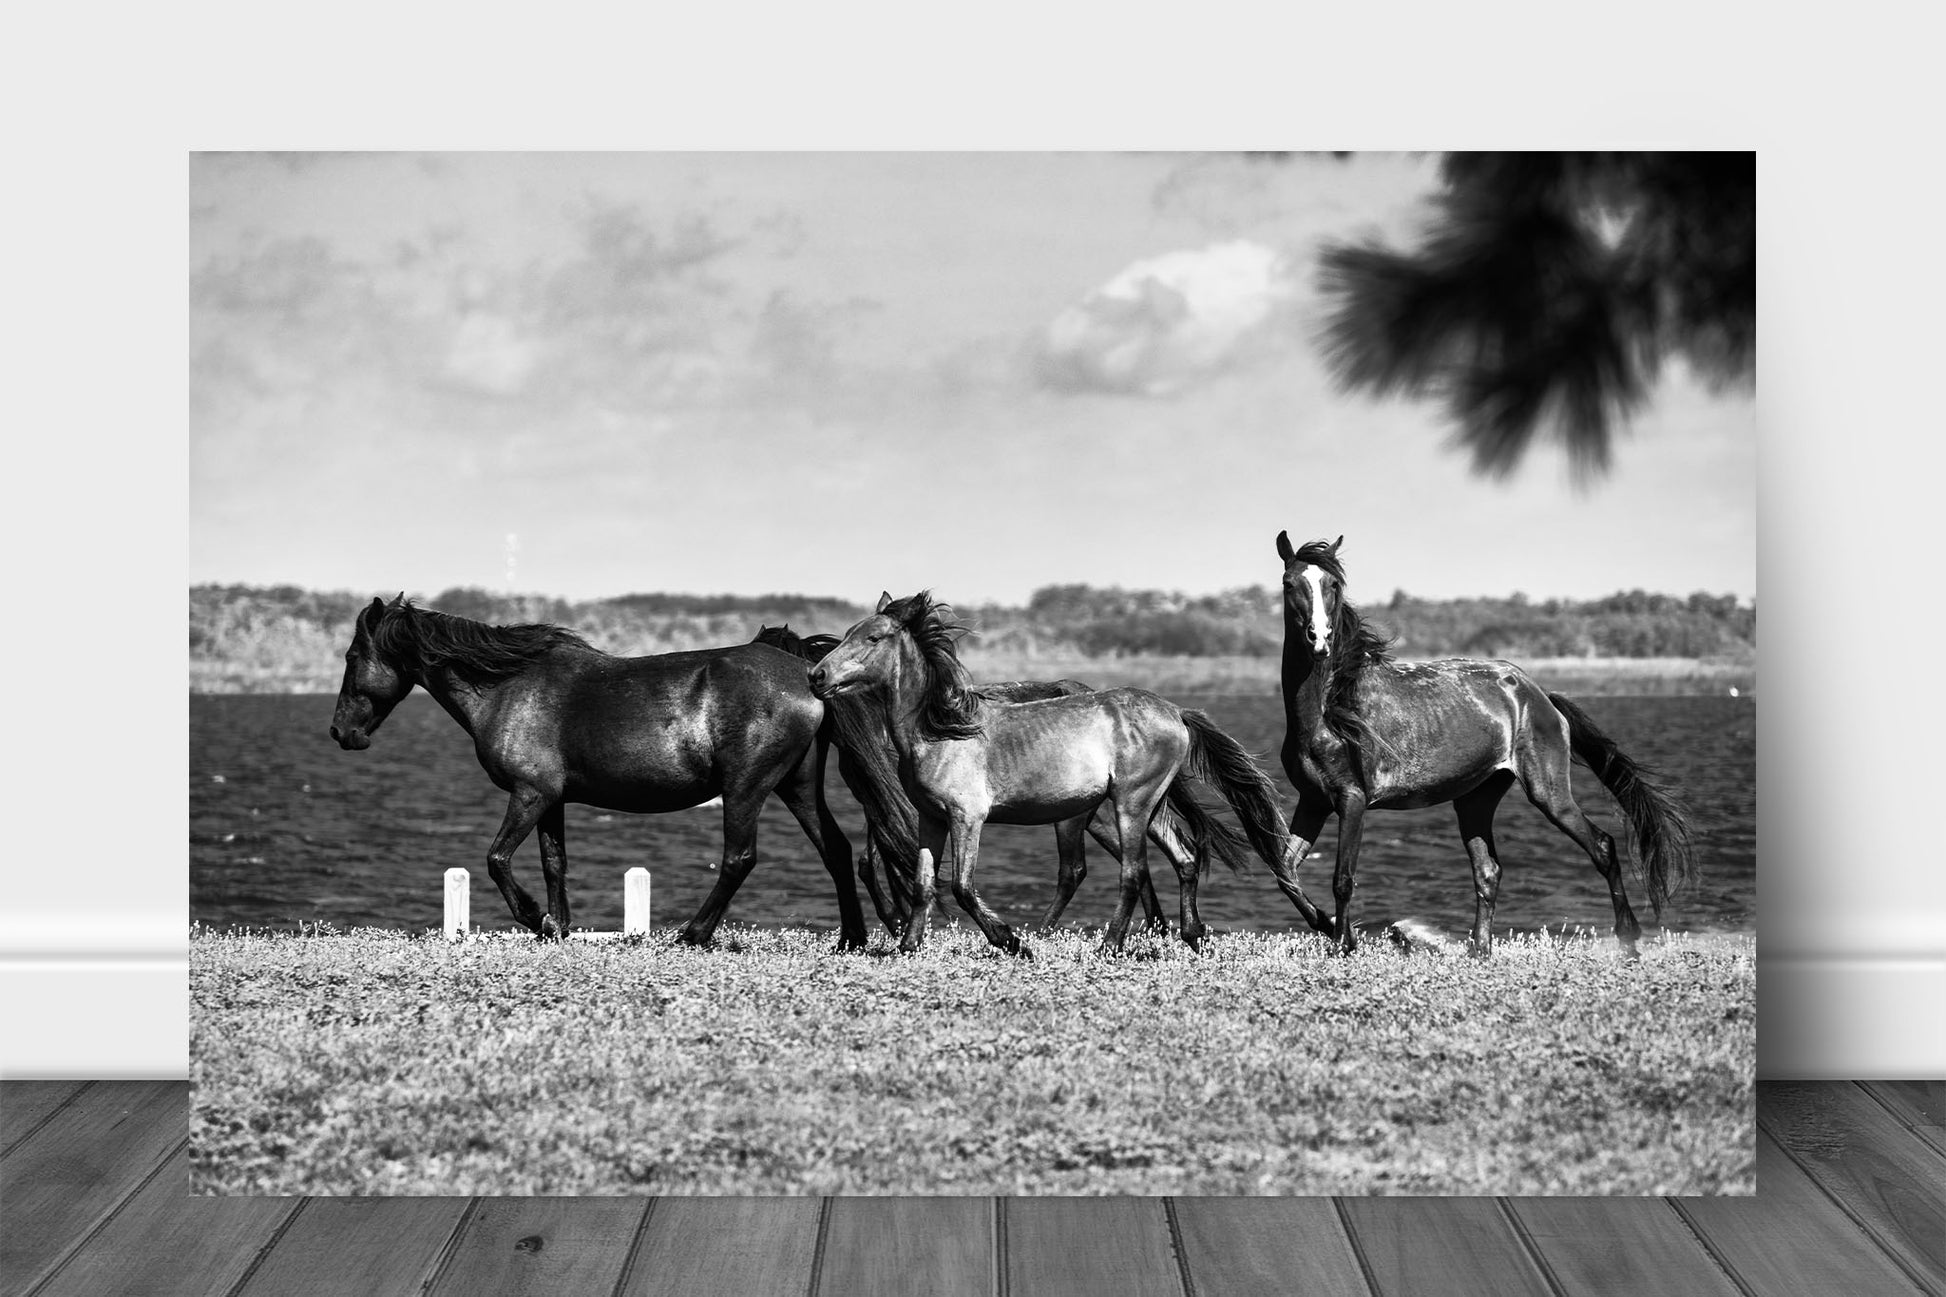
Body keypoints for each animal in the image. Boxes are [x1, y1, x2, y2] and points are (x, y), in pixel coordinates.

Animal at [329, 596, 868, 948]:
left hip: (747, 789)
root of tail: (809, 676)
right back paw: (852, 940)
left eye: (352, 656)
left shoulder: (529, 794)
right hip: (797, 786)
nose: (340, 732)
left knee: (739, 858)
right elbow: (554, 862)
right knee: (836, 851)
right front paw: (559, 927)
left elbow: (496, 858)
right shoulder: (551, 800)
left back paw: (692, 935)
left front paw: (538, 919)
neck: (508, 688)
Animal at [753, 624, 1217, 938]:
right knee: (1161, 855)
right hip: (1109, 808)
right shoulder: (892, 808)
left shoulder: (921, 808)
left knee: (1095, 868)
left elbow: (906, 864)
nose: (815, 679)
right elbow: (890, 865)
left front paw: (907, 922)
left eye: (870, 639)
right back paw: (1172, 931)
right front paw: (903, 930)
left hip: (1094, 810)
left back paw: (1068, 936)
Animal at [805, 592, 1290, 956]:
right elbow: (925, 883)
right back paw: (1192, 936)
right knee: (1185, 858)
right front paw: (907, 946)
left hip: (1128, 804)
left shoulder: (968, 817)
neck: (939, 730)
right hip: (1148, 805)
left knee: (1131, 872)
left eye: (873, 636)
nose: (817, 675)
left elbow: (961, 885)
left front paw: (1012, 942)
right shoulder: (932, 818)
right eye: (846, 634)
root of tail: (1175, 711)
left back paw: (1107, 945)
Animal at [1272, 533, 1693, 956]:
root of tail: (1539, 695)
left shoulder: (1352, 800)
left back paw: (1628, 939)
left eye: (1333, 585)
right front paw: (1328, 927)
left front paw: (1344, 943)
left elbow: (1343, 878)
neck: (1327, 712)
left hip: (1548, 793)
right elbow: (1284, 871)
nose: (1320, 640)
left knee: (1602, 846)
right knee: (1488, 871)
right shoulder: (1313, 802)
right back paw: (1480, 949)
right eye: (1289, 584)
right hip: (1475, 799)